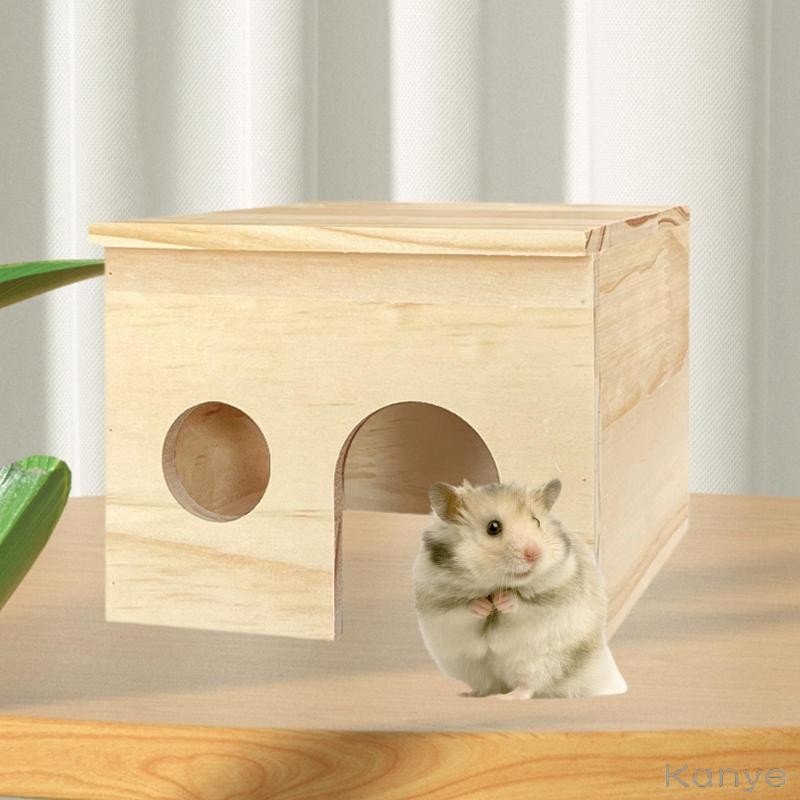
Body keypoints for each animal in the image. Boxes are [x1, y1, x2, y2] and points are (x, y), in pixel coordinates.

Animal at [413, 478, 621, 699]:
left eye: (536, 521)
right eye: (493, 527)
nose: (534, 554)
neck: (495, 585)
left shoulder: (555, 595)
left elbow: (524, 604)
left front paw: (503, 601)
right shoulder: (438, 602)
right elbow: (463, 608)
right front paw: (484, 606)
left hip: (544, 661)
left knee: (529, 685)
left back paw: (506, 697)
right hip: (472, 667)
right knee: (488, 685)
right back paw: (472, 694)